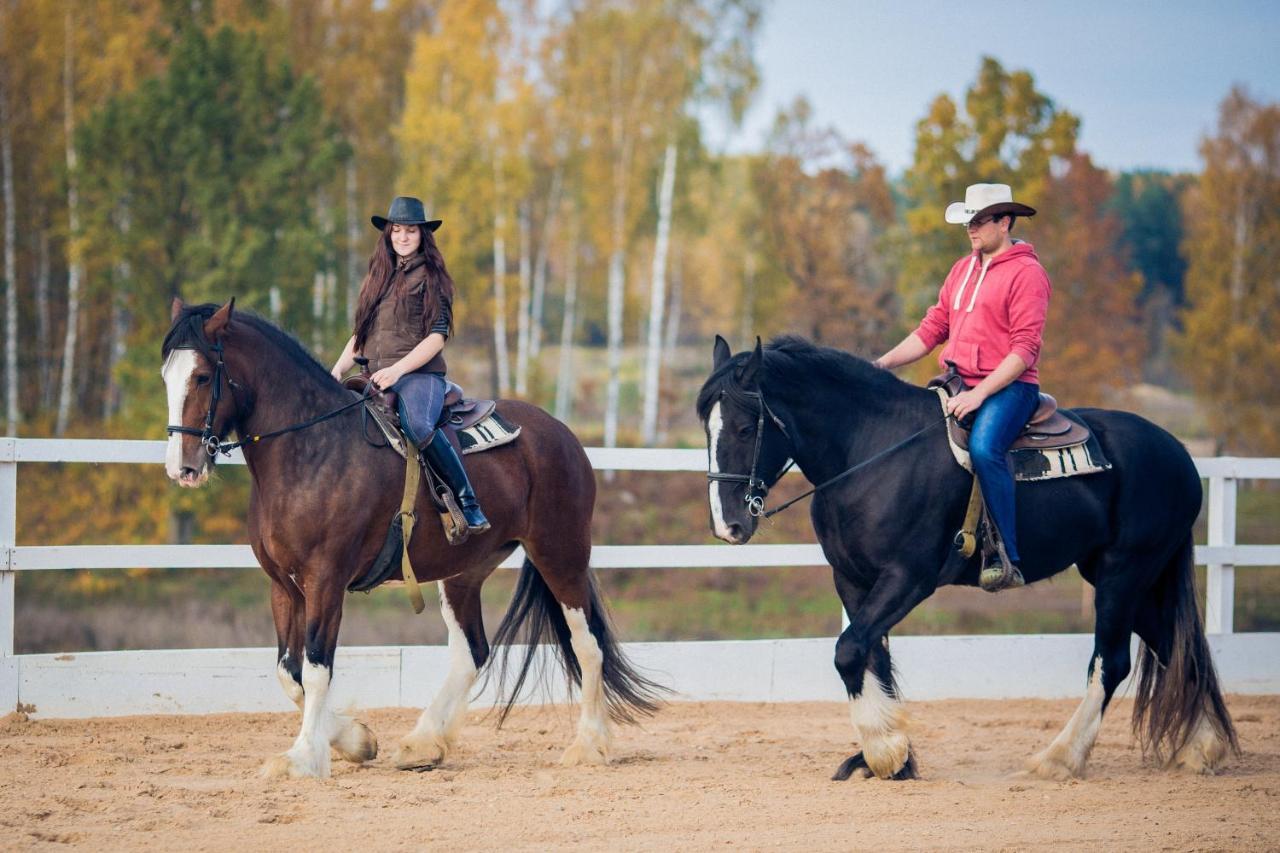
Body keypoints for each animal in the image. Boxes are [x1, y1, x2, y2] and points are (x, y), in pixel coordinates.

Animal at [162, 298, 660, 778]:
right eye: (167, 374)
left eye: (203, 376)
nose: (182, 466)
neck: (314, 450)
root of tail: (562, 434)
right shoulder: (283, 586)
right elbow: (290, 673)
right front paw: (356, 741)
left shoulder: (326, 580)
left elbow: (317, 667)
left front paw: (304, 757)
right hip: (465, 572)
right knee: (472, 652)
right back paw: (423, 744)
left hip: (561, 554)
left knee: (586, 644)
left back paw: (589, 746)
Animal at [701, 335, 1239, 778]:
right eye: (706, 426)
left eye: (747, 427)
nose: (729, 524)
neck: (871, 452)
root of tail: (1177, 451)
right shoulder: (853, 581)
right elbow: (872, 654)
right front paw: (894, 757)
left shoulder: (909, 577)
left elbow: (849, 650)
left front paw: (884, 752)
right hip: (1128, 577)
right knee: (1176, 646)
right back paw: (1203, 749)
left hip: (1123, 574)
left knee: (1113, 662)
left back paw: (1060, 759)